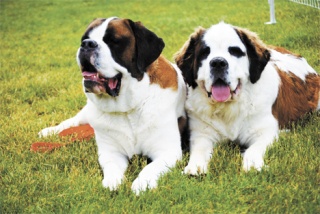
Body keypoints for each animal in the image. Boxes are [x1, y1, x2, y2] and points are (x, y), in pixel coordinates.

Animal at [38, 17, 186, 195]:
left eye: (113, 41)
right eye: (84, 39)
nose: (87, 44)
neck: (127, 108)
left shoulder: (168, 152)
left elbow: (151, 167)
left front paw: (142, 184)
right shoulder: (110, 151)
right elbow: (112, 166)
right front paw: (112, 182)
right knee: (74, 120)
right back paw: (49, 131)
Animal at [175, 21, 320, 175]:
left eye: (235, 51)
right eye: (204, 53)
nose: (218, 63)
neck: (228, 108)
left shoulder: (266, 132)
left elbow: (254, 148)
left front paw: (253, 165)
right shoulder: (201, 133)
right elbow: (199, 149)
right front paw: (194, 167)